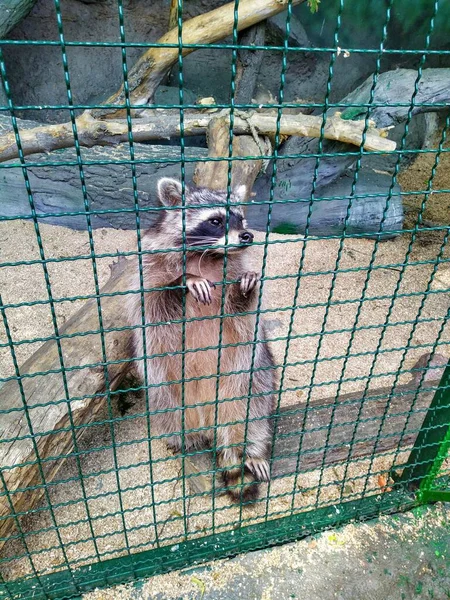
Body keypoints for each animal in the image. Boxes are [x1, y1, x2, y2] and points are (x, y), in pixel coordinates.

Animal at [125, 178, 276, 502]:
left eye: (241, 219)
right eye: (216, 221)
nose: (247, 235)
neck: (208, 257)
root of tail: (209, 421)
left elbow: (242, 315)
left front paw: (245, 288)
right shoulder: (147, 273)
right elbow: (154, 304)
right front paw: (185, 280)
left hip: (250, 381)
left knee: (254, 412)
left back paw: (250, 451)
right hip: (165, 392)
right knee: (170, 412)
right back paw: (187, 448)